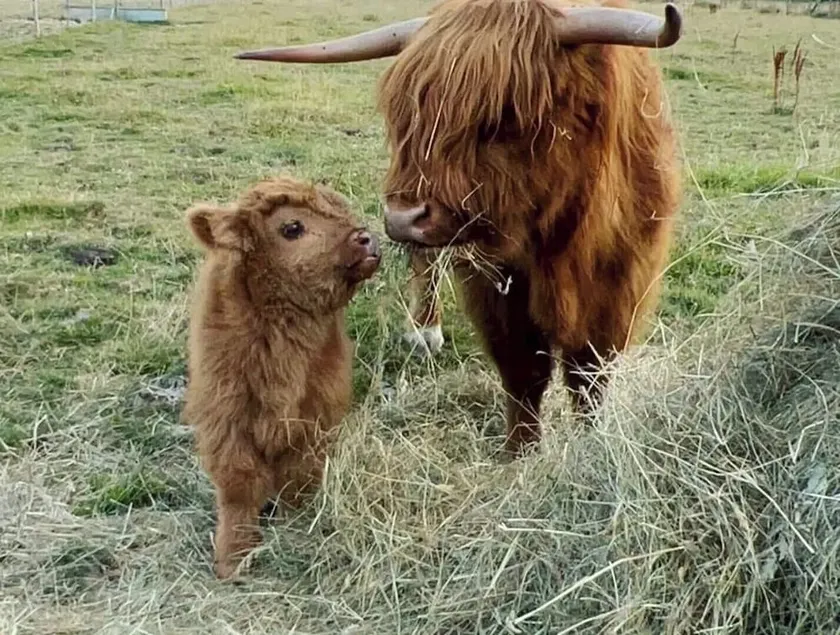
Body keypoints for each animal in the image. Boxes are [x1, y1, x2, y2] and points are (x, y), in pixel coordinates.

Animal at [182, 175, 381, 578]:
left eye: (339, 210)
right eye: (292, 228)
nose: (365, 238)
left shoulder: (316, 414)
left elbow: (298, 476)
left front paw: (297, 528)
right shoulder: (226, 416)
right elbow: (239, 487)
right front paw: (232, 558)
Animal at [235, 0, 684, 457]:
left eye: (504, 116)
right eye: (407, 115)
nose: (403, 217)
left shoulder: (622, 285)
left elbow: (588, 376)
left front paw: (589, 442)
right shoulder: (497, 287)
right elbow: (524, 371)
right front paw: (519, 453)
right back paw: (424, 331)